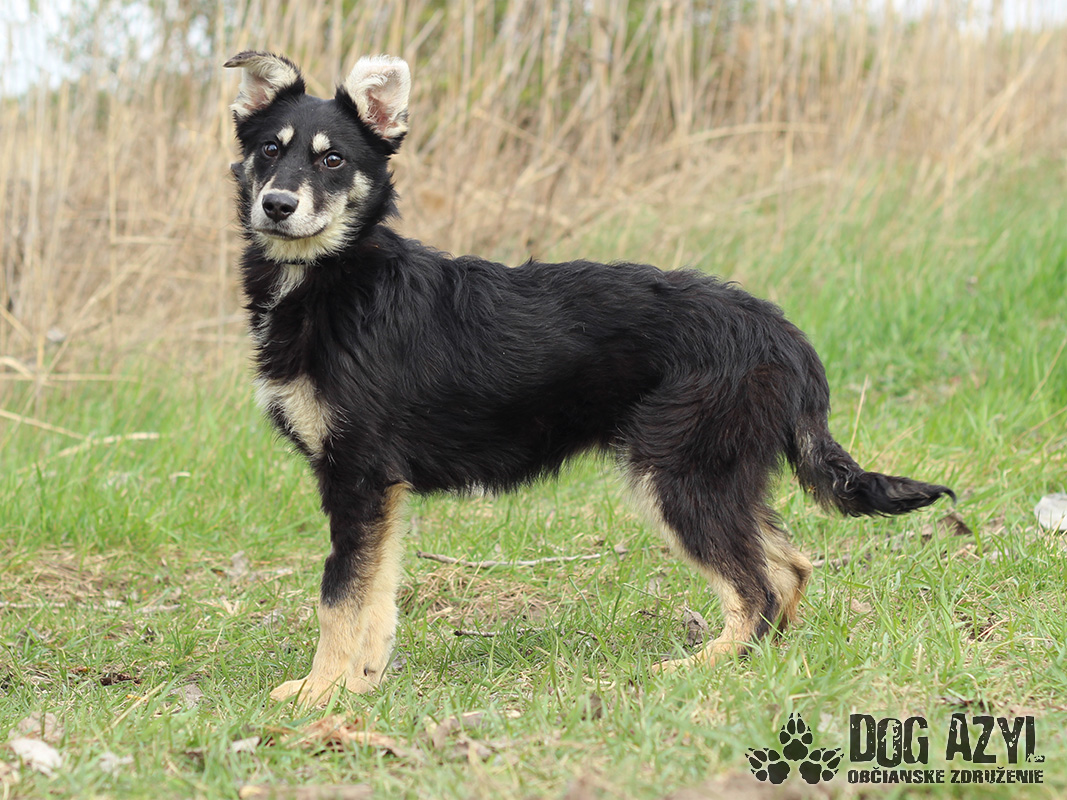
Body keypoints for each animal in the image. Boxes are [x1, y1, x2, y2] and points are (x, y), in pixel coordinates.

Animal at [224, 51, 954, 706]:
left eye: (332, 160)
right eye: (268, 149)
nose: (277, 205)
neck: (333, 280)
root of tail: (781, 333)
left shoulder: (357, 477)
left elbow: (338, 598)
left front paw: (316, 694)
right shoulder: (378, 488)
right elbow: (373, 599)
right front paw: (358, 684)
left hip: (680, 474)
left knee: (758, 587)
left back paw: (698, 668)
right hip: (719, 475)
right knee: (788, 567)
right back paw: (761, 659)